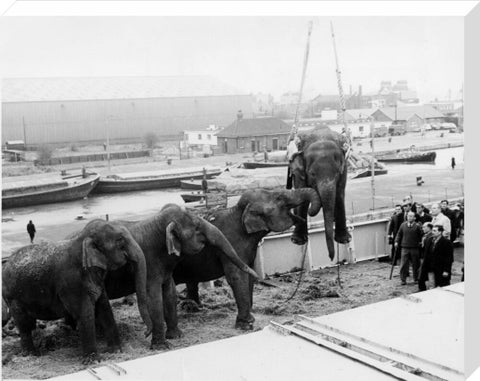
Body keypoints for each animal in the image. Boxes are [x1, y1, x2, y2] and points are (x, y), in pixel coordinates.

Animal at [1, 218, 152, 360]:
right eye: (120, 240)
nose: (145, 334)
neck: (81, 239)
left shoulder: (96, 280)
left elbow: (104, 308)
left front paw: (115, 351)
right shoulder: (71, 283)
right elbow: (84, 313)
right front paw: (93, 361)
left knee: (28, 324)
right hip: (13, 298)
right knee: (24, 325)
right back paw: (32, 355)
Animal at [102, 203, 258, 348]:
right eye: (197, 227)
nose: (256, 274)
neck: (156, 223)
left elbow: (170, 291)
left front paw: (175, 337)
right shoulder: (148, 263)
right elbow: (153, 297)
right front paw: (161, 347)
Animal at [171, 188, 320, 330]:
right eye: (279, 198)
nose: (309, 214)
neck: (239, 211)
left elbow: (249, 274)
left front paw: (250, 315)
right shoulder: (232, 243)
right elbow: (237, 276)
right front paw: (246, 325)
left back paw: (192, 307)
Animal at [288, 129, 352, 260]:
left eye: (337, 173)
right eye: (312, 174)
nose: (331, 258)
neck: (321, 138)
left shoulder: (344, 169)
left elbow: (339, 194)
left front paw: (344, 240)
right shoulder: (299, 172)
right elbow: (303, 195)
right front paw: (297, 241)